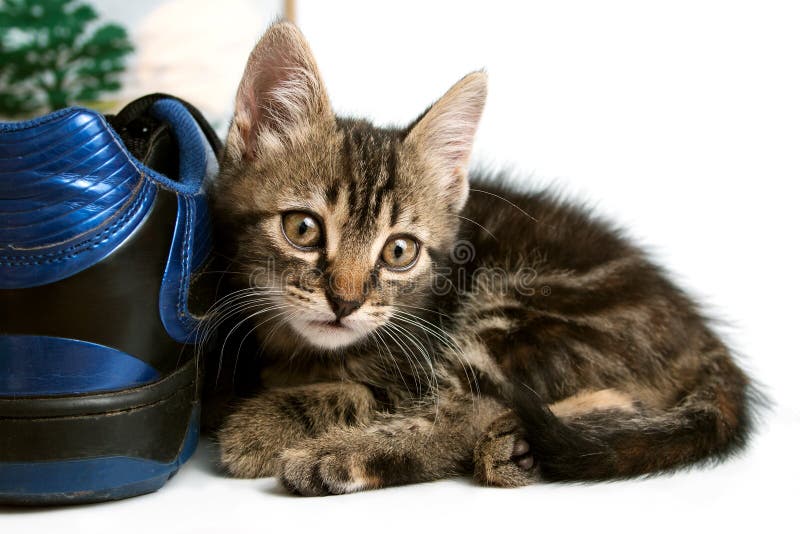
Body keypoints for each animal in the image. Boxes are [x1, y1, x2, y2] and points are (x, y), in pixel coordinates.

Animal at [209, 22, 752, 498]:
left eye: (399, 251)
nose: (345, 302)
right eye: (303, 229)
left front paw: (265, 424)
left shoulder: (416, 357)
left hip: (527, 304)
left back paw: (335, 459)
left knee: (466, 413)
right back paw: (521, 447)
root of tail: (701, 336)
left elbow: (362, 393)